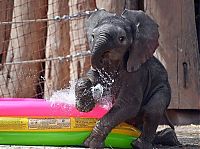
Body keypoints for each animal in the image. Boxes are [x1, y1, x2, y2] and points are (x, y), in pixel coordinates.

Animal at [76, 9, 177, 149]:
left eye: (121, 39)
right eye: (92, 36)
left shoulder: (136, 74)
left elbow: (128, 105)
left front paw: (90, 143)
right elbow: (87, 78)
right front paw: (85, 107)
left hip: (163, 88)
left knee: (153, 108)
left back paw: (139, 144)